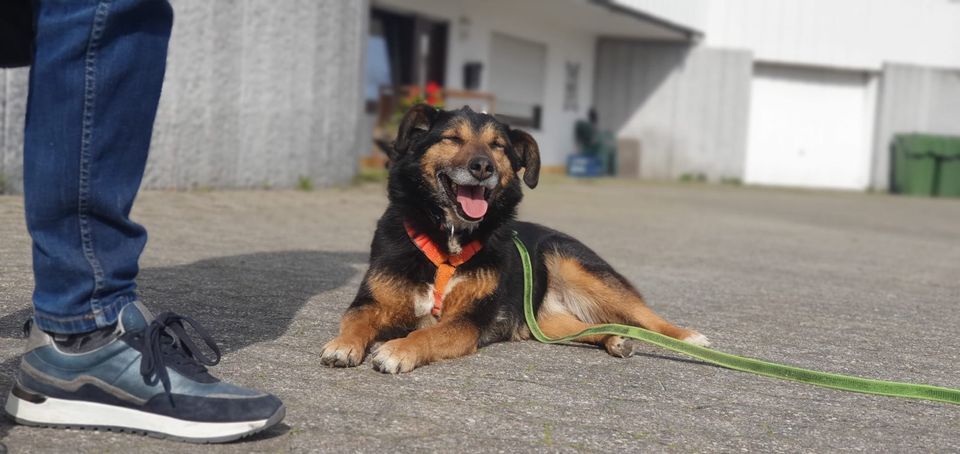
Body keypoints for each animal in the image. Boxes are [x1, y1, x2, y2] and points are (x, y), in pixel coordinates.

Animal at [320, 105, 704, 372]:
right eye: (452, 138)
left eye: (498, 146)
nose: (482, 167)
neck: (449, 239)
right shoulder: (370, 301)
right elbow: (356, 321)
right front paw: (343, 344)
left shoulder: (467, 320)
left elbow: (424, 333)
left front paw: (398, 350)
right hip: (547, 322)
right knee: (588, 326)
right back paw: (614, 338)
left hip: (579, 267)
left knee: (644, 315)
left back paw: (687, 337)